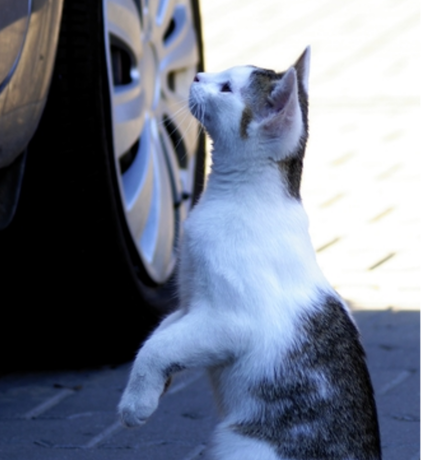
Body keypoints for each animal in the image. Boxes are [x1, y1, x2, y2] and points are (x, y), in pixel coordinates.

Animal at [117, 47, 380, 460]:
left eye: (226, 88)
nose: (197, 76)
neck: (236, 195)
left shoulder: (228, 320)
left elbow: (158, 348)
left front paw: (135, 403)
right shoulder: (189, 305)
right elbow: (159, 334)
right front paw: (150, 387)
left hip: (239, 444)